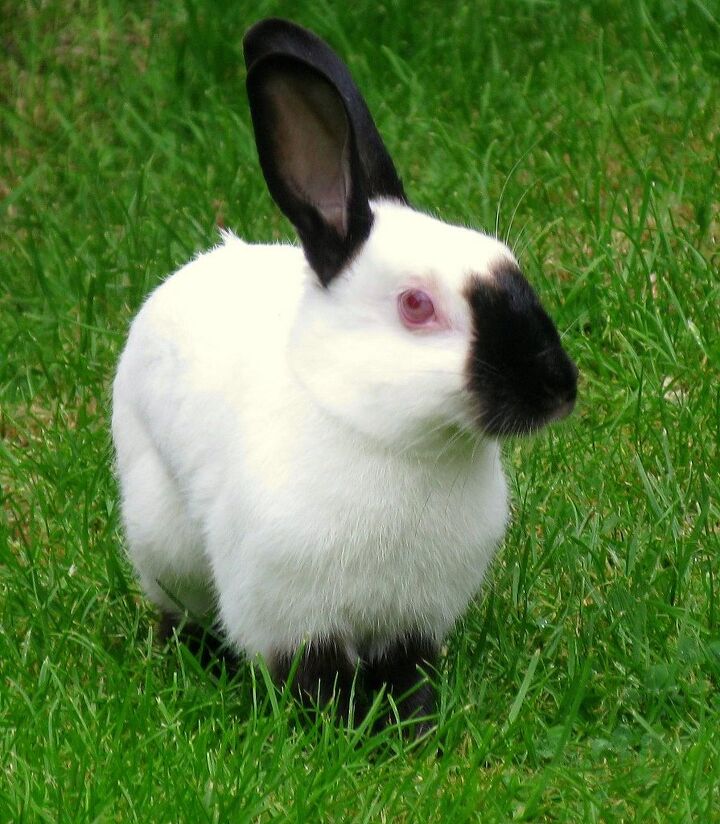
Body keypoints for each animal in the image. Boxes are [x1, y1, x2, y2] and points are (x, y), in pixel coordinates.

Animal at [111, 17, 580, 728]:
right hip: (161, 537)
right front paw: (334, 729)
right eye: (416, 306)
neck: (392, 440)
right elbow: (314, 677)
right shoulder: (293, 616)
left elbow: (406, 674)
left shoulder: (413, 619)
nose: (559, 388)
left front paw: (412, 728)